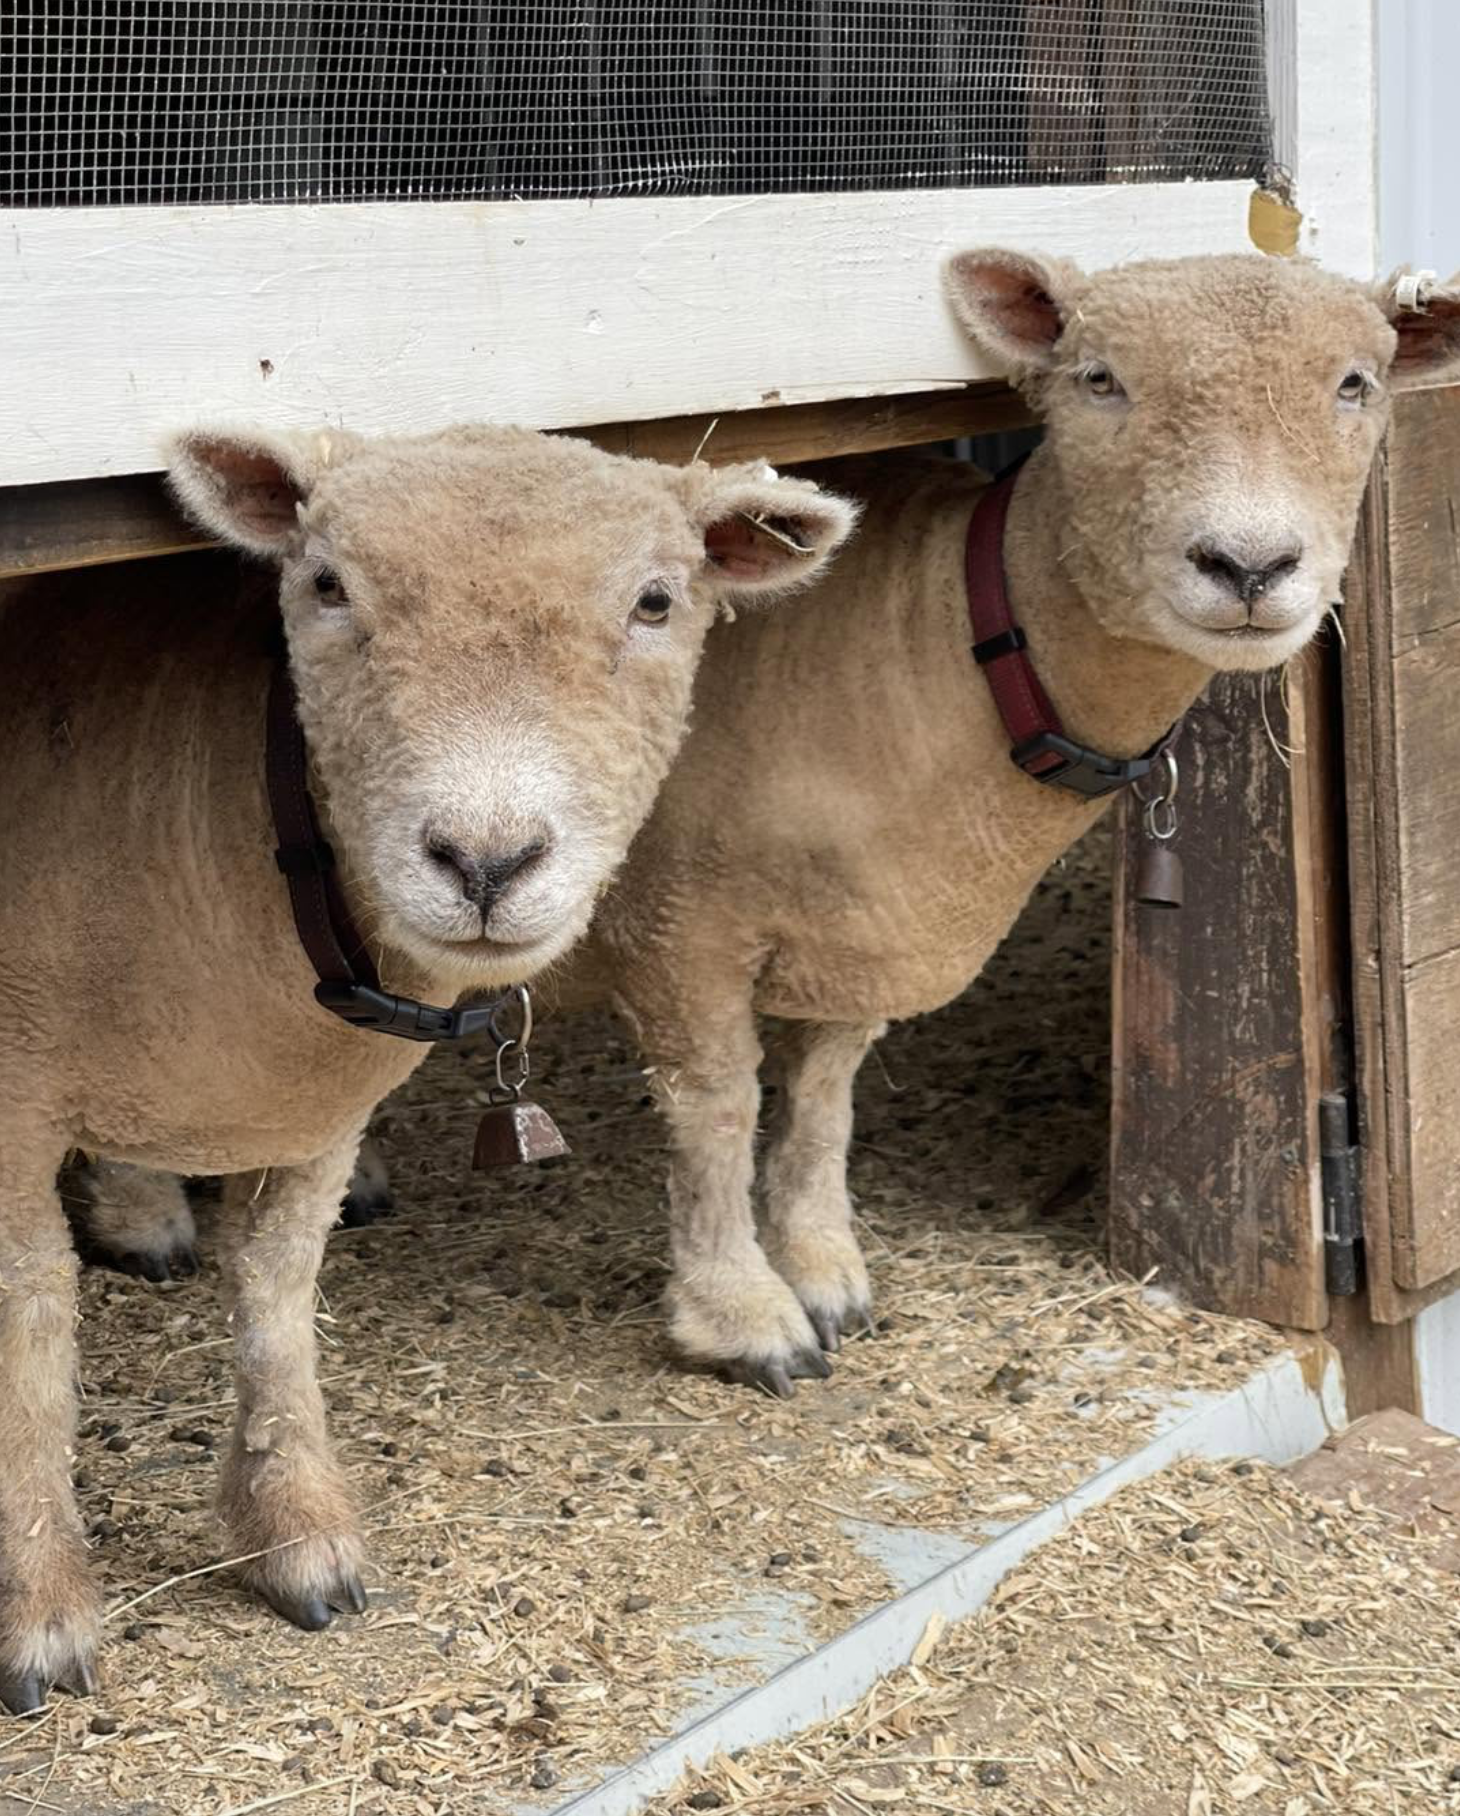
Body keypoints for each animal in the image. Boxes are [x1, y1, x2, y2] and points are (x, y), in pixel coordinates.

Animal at [0, 423, 854, 1711]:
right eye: (326, 585)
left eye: (656, 601)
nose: (487, 860)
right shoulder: (10, 1098)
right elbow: (32, 1328)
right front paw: (38, 1604)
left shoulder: (310, 1104)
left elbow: (275, 1291)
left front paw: (296, 1532)